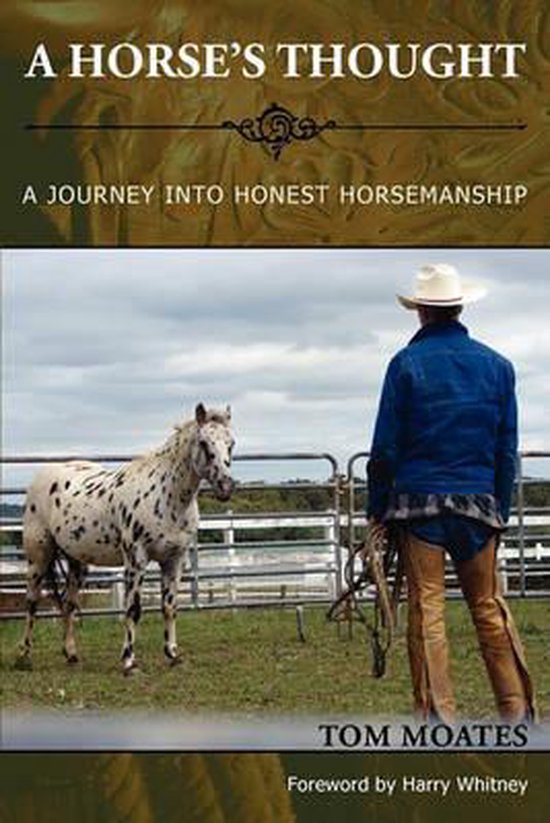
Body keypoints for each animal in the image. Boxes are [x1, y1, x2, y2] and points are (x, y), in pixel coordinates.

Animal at [18, 403, 234, 673]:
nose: (226, 486)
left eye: (231, 443)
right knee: (31, 601)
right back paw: (24, 656)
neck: (167, 496)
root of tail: (43, 476)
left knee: (68, 603)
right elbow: (133, 609)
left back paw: (71, 654)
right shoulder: (136, 559)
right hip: (39, 556)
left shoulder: (174, 560)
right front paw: (129, 660)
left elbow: (169, 607)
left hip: (77, 561)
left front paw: (173, 654)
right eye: (204, 442)